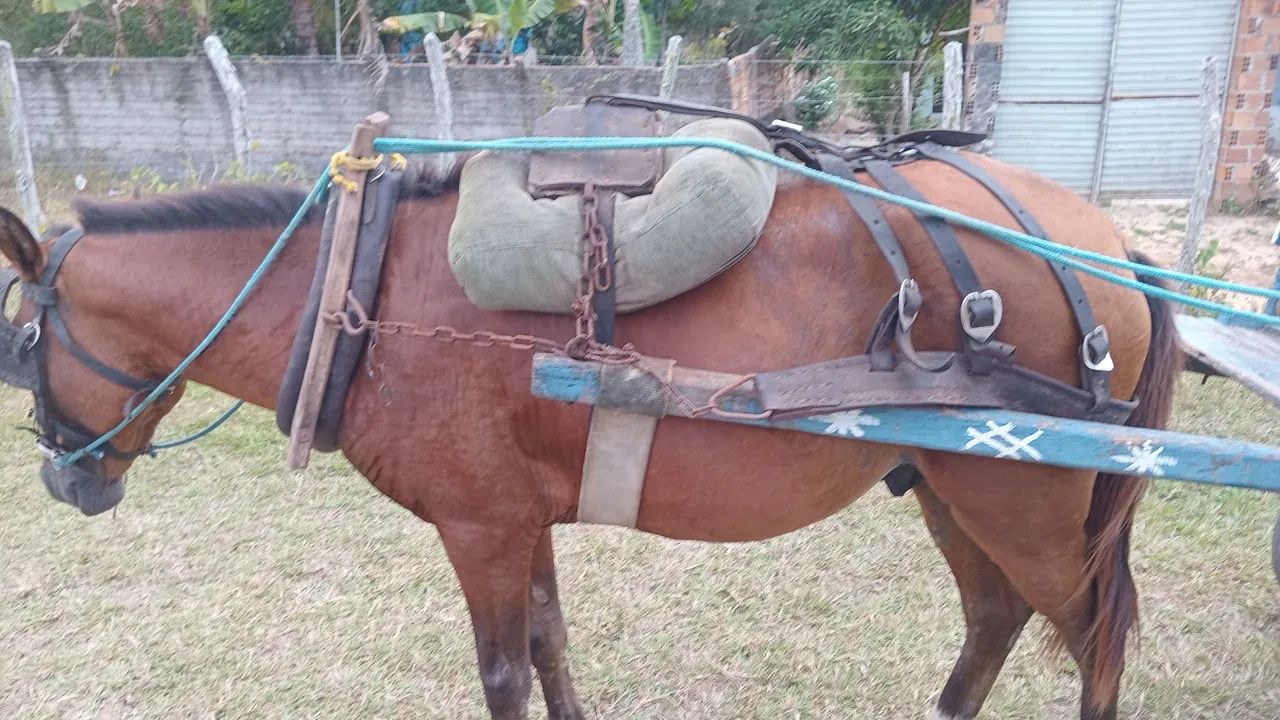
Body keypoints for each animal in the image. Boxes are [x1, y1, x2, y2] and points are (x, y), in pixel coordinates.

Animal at [0, 149, 1178, 720]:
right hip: (951, 482)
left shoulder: (478, 528)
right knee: (994, 618)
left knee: (1095, 637)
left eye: (20, 342)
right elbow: (550, 641)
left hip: (1020, 500)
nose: (63, 480)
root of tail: (1111, 246)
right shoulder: (520, 520)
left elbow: (503, 673)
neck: (358, 294)